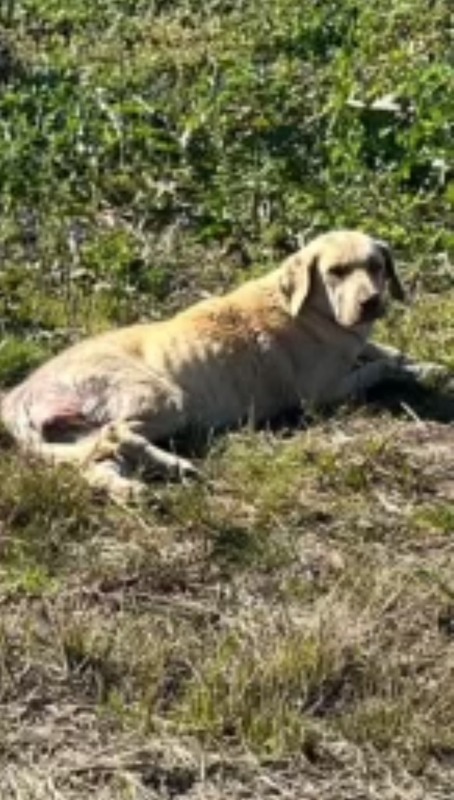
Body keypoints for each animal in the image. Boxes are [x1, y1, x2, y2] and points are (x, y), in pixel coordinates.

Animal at [0, 228, 432, 496]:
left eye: (376, 266)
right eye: (336, 272)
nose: (371, 301)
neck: (305, 308)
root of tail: (16, 395)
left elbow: (383, 350)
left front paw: (423, 364)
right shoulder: (323, 393)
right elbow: (378, 367)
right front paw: (407, 369)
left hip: (77, 437)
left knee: (99, 459)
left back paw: (137, 485)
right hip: (162, 397)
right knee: (115, 434)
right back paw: (173, 465)